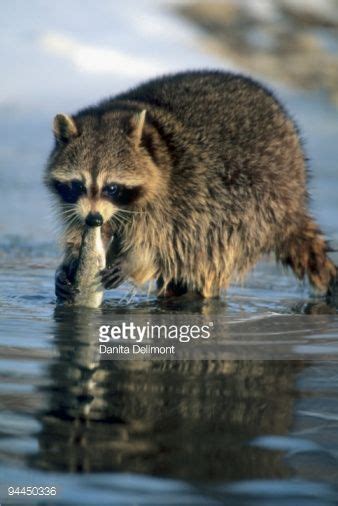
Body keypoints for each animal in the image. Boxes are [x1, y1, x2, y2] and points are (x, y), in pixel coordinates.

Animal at [44, 71, 336, 300]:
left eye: (112, 188)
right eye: (77, 185)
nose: (93, 219)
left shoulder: (182, 192)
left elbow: (164, 241)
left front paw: (134, 260)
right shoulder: (79, 207)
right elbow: (81, 229)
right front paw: (71, 261)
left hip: (258, 202)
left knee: (208, 248)